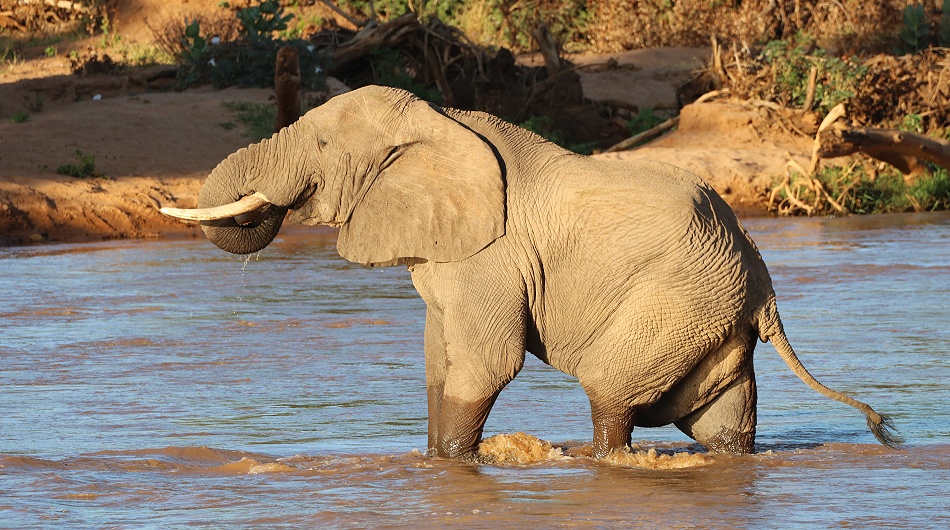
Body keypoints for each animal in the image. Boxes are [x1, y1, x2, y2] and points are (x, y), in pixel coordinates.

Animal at [161, 85, 901, 459]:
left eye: (318, 143)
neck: (442, 118)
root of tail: (764, 285)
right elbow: (439, 362)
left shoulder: (490, 256)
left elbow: (484, 364)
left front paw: (458, 467)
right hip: (712, 315)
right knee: (719, 423)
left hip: (678, 299)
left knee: (611, 393)